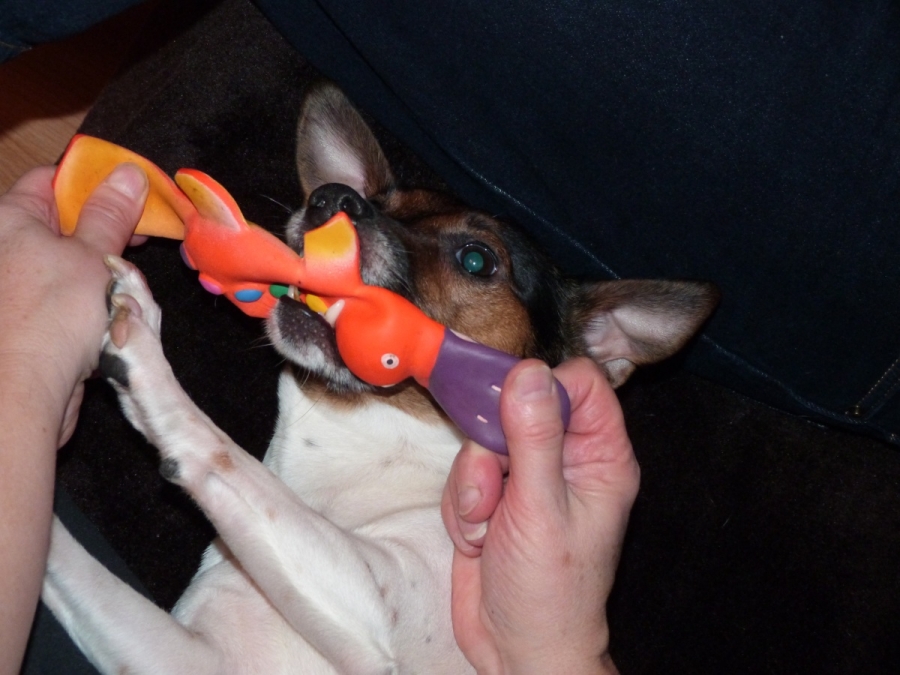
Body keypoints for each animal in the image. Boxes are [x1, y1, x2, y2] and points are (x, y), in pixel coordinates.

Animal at [42, 81, 718, 674]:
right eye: (376, 200)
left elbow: (225, 454)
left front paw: (146, 357)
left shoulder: (373, 605)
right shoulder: (189, 659)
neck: (357, 442)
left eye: (478, 259)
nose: (332, 198)